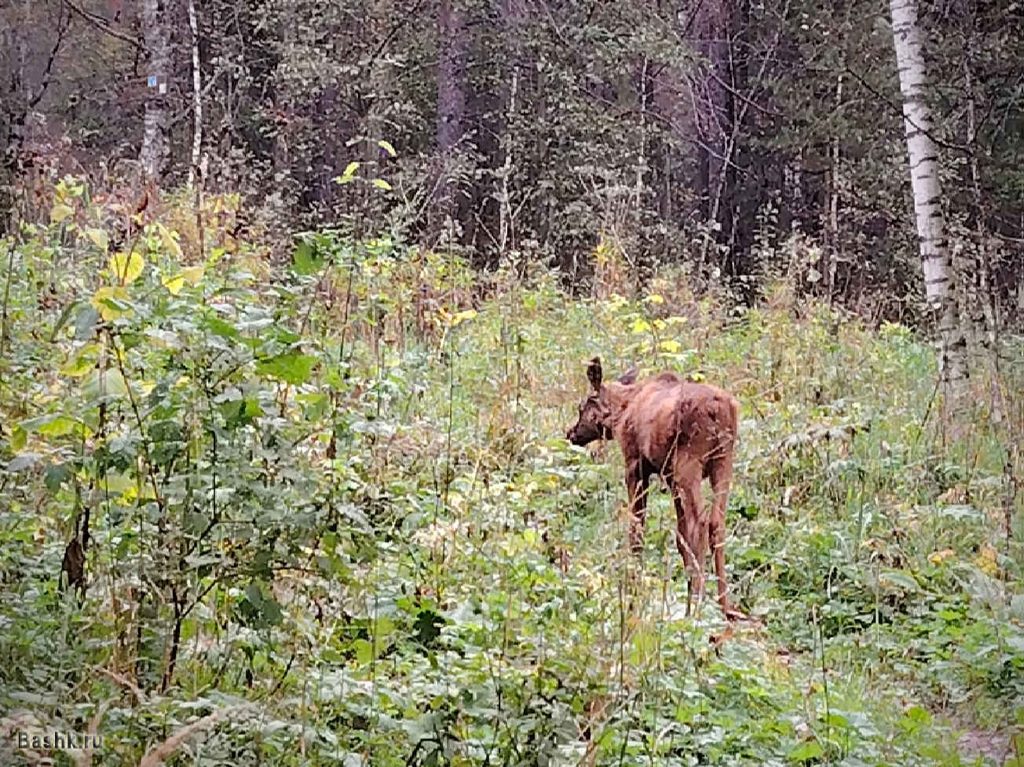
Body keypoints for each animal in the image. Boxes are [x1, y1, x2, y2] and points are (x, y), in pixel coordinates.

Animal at [566, 357, 742, 620]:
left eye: (582, 406)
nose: (571, 433)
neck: (622, 412)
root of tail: (719, 411)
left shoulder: (635, 466)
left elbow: (637, 530)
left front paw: (633, 588)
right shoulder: (669, 477)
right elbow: (680, 536)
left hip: (688, 463)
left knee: (700, 520)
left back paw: (698, 602)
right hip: (723, 460)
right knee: (716, 521)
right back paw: (724, 605)